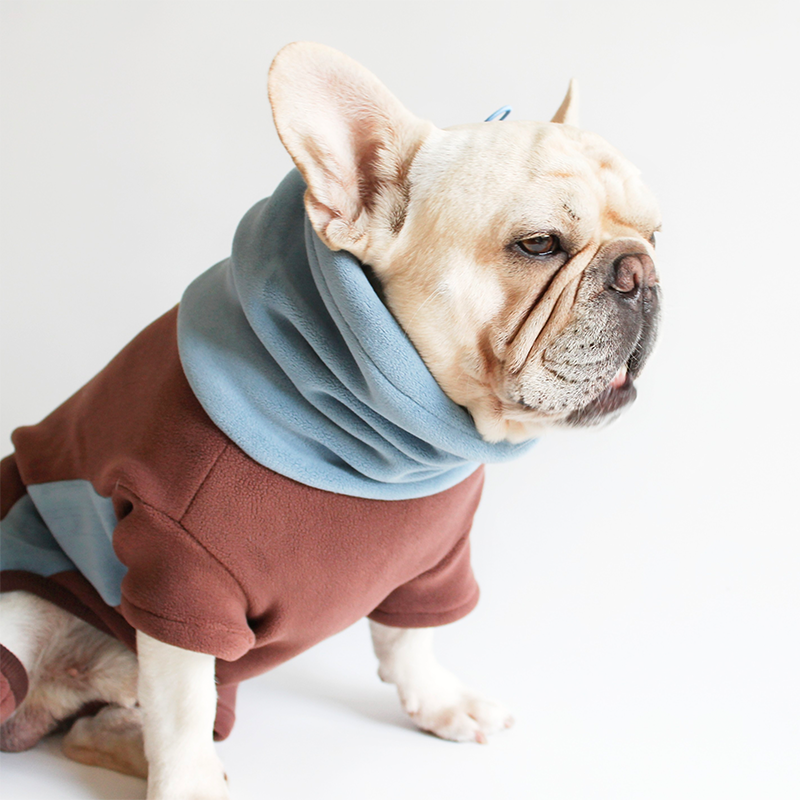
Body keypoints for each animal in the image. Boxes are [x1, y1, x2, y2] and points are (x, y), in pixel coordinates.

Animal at [0, 42, 660, 799]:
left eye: (655, 232)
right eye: (540, 245)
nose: (642, 271)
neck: (388, 443)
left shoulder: (434, 563)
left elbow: (409, 639)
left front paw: (440, 704)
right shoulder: (179, 578)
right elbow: (184, 703)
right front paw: (189, 785)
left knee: (94, 729)